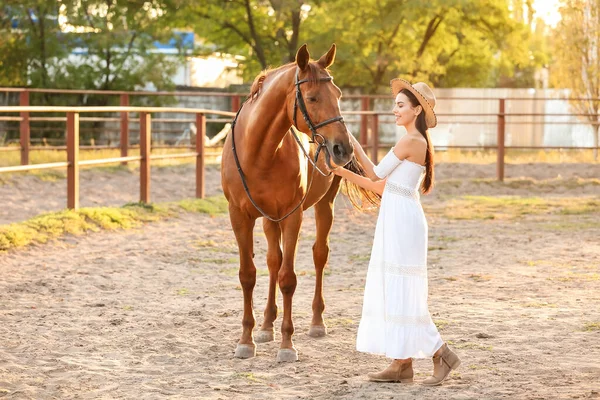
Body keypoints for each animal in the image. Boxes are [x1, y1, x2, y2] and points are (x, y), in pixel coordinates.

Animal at [220, 43, 354, 362]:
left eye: (339, 95)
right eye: (312, 97)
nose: (343, 149)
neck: (259, 152)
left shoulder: (293, 216)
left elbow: (288, 278)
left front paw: (287, 344)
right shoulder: (239, 216)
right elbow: (248, 275)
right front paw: (247, 340)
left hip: (323, 205)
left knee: (319, 255)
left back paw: (316, 322)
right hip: (271, 218)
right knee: (273, 260)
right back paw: (266, 325)